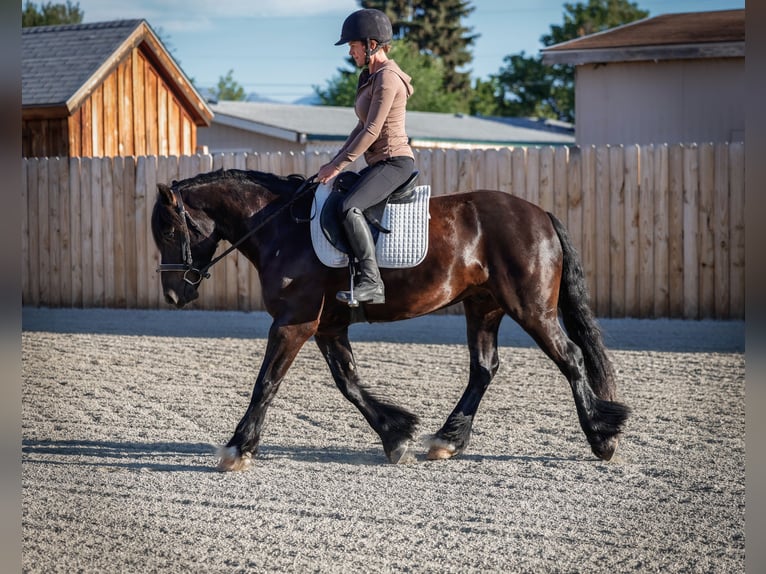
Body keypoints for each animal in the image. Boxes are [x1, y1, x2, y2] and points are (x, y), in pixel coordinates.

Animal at [151, 168, 630, 471]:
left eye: (170, 231)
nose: (174, 294)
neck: (280, 229)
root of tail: (539, 214)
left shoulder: (293, 322)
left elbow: (266, 382)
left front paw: (238, 448)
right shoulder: (327, 326)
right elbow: (348, 383)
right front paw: (396, 435)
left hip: (531, 308)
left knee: (571, 358)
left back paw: (602, 438)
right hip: (484, 306)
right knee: (484, 368)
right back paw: (447, 440)